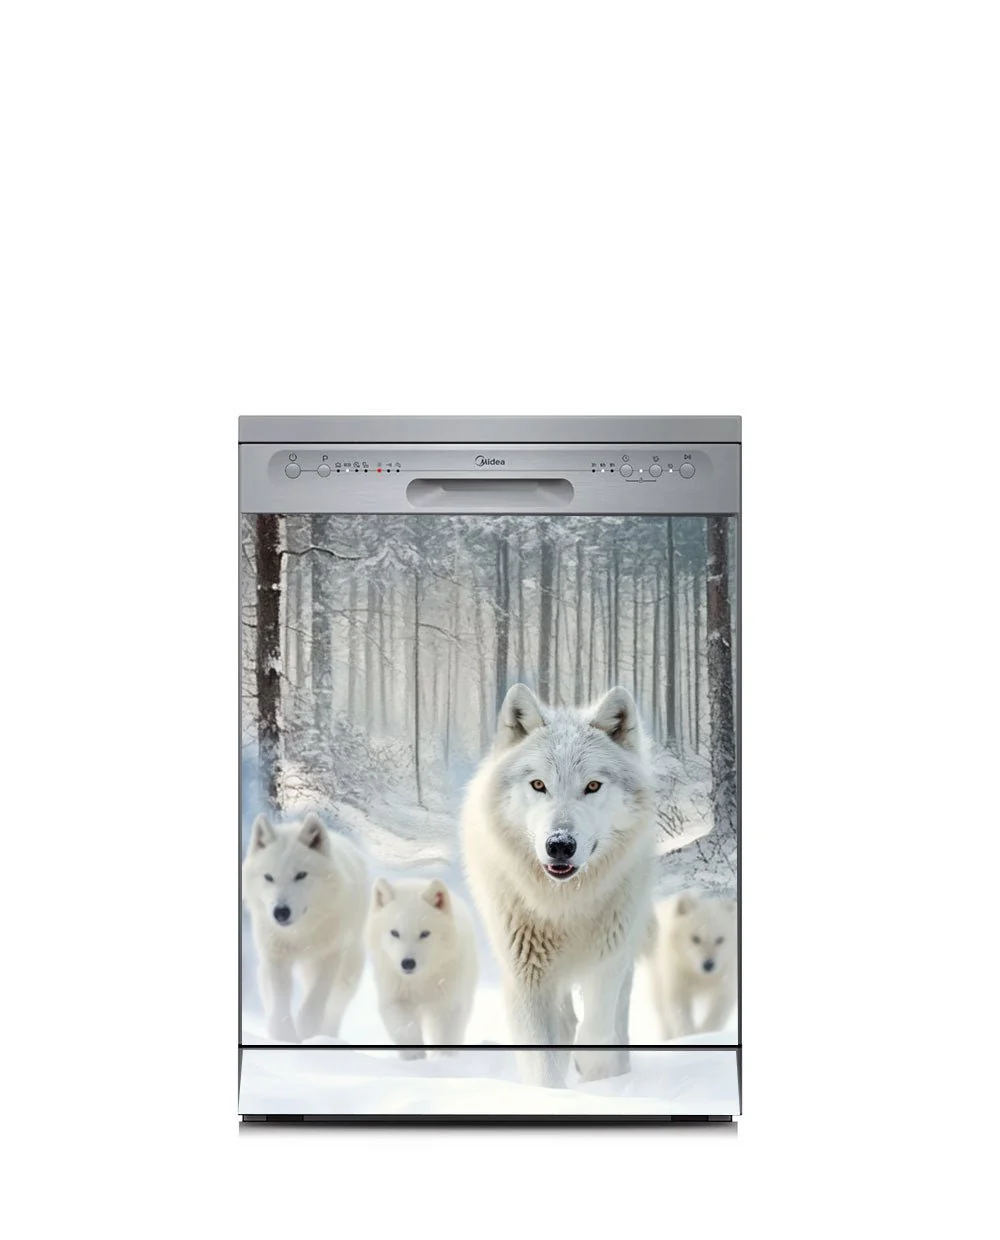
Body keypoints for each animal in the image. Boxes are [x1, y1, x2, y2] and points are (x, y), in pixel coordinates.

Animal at [242, 812, 368, 1043]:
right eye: (269, 877)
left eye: (300, 875)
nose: (281, 912)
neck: (299, 933)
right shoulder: (275, 956)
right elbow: (280, 1000)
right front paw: (284, 1036)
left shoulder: (330, 956)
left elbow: (315, 1000)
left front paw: (306, 1032)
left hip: (347, 971)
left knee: (334, 1007)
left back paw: (327, 1036)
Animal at [366, 877, 478, 1058]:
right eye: (395, 933)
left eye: (425, 933)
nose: (407, 963)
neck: (419, 982)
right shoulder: (394, 999)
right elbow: (407, 1032)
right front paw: (416, 1059)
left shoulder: (448, 1004)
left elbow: (446, 1038)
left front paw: (444, 1059)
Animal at [461, 684, 656, 1088]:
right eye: (539, 785)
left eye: (592, 786)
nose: (560, 845)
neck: (563, 905)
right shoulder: (525, 975)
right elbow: (543, 1064)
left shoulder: (609, 960)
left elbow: (598, 1031)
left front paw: (597, 1070)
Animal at [647, 891, 737, 1040]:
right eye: (695, 938)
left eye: (720, 939)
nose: (708, 964)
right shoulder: (676, 972)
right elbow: (677, 1007)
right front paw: (688, 1035)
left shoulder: (727, 975)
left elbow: (720, 1006)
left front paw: (704, 1033)